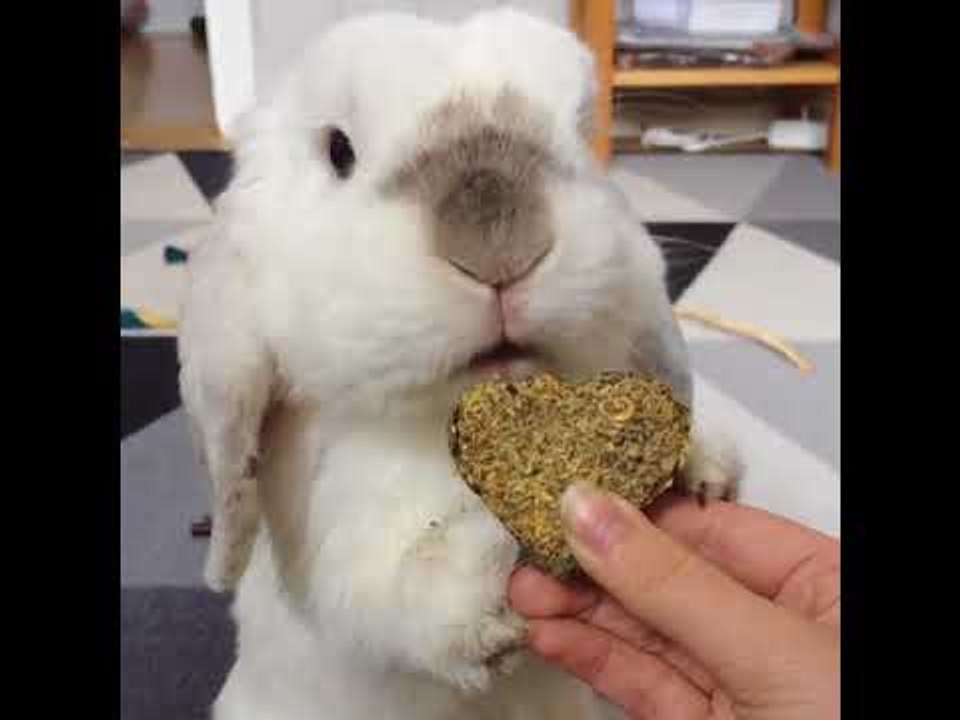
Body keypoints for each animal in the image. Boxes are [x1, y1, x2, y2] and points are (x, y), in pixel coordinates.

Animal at [177, 9, 741, 720]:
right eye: (339, 151)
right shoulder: (330, 527)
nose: (501, 247)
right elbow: (379, 585)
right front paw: (487, 598)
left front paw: (707, 472)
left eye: (579, 131)